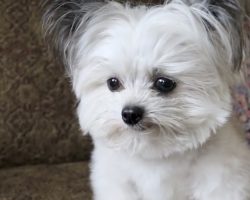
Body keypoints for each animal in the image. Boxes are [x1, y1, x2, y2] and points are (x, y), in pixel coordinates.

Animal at [43, 0, 250, 199]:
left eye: (164, 83)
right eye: (113, 83)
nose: (130, 114)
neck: (154, 156)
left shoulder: (222, 183)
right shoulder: (118, 186)